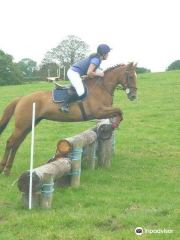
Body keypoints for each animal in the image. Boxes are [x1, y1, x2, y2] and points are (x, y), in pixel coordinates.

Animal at [0, 62, 138, 174]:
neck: (102, 87)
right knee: (11, 142)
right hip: (22, 125)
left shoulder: (104, 111)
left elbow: (119, 112)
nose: (133, 96)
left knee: (17, 144)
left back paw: (8, 169)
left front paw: (114, 125)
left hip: (30, 124)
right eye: (131, 77)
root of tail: (21, 98)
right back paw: (2, 168)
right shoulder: (98, 111)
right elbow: (119, 111)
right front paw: (113, 126)